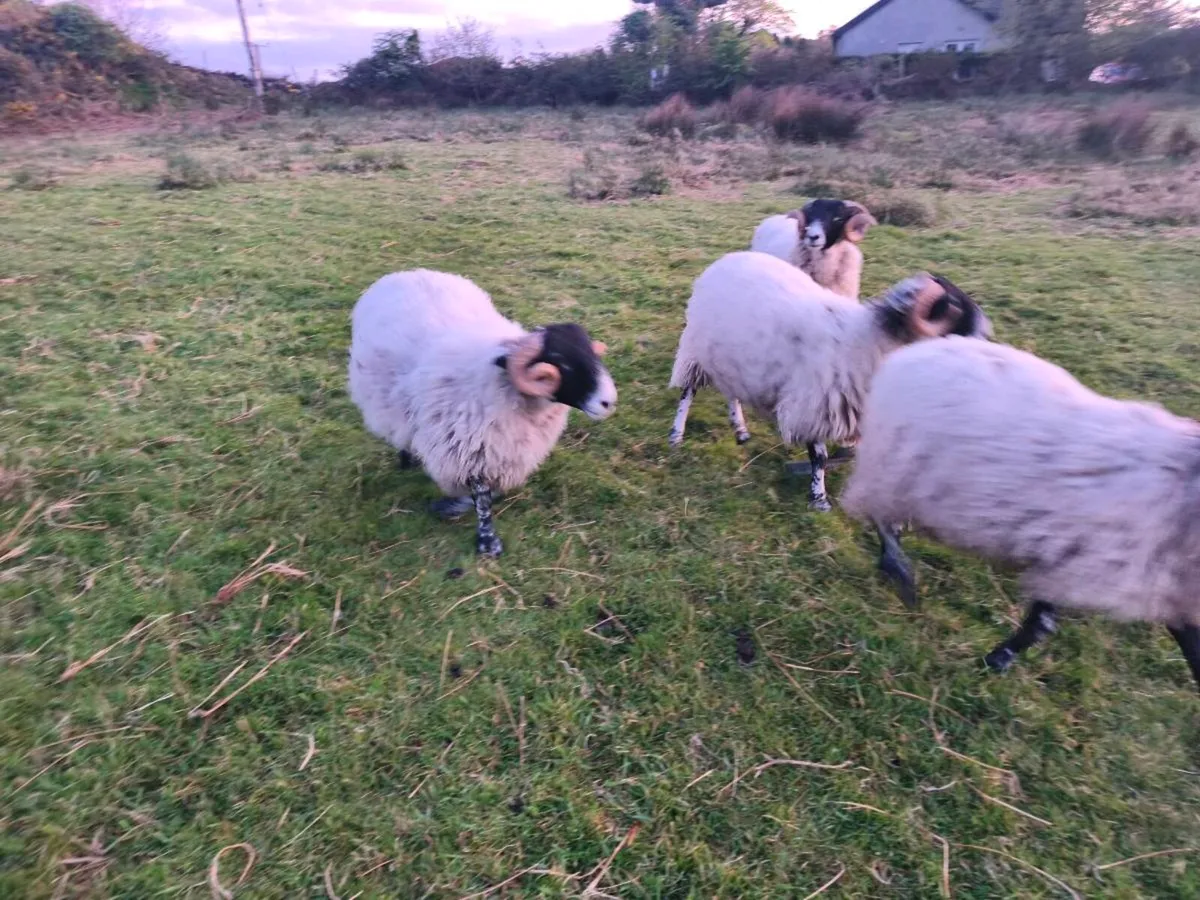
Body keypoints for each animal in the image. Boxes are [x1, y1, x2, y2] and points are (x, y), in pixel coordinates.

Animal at [348, 268, 617, 558]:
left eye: (592, 355)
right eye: (562, 363)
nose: (609, 401)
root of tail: (406, 272)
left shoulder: (506, 453)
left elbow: (492, 492)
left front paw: (455, 505)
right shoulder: (468, 448)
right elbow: (482, 498)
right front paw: (487, 541)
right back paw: (406, 458)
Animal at [668, 251, 991, 510]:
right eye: (956, 313)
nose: (987, 347)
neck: (866, 343)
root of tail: (726, 259)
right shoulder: (814, 406)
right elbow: (819, 458)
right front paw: (819, 499)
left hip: (730, 359)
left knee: (731, 393)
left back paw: (741, 429)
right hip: (696, 352)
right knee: (687, 393)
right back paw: (676, 435)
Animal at [671, 199, 875, 450]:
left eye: (838, 217)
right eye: (809, 215)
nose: (812, 236)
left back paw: (739, 429)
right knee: (691, 387)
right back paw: (679, 434)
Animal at [841, 337, 1200, 691]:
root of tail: (923, 347)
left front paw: (998, 659)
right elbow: (1042, 620)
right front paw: (996, 660)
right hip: (891, 466)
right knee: (881, 518)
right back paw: (899, 573)